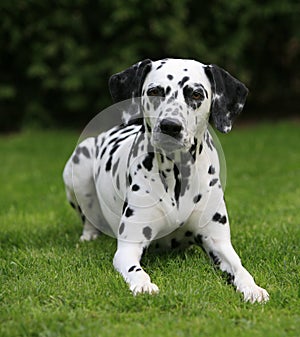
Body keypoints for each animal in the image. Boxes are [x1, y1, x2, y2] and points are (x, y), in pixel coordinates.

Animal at [62, 57, 270, 302]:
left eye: (196, 94)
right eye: (154, 91)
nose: (170, 126)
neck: (178, 175)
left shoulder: (218, 242)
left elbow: (240, 268)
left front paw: (252, 288)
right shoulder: (128, 247)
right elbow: (136, 270)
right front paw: (144, 285)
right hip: (79, 164)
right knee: (87, 217)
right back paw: (89, 236)